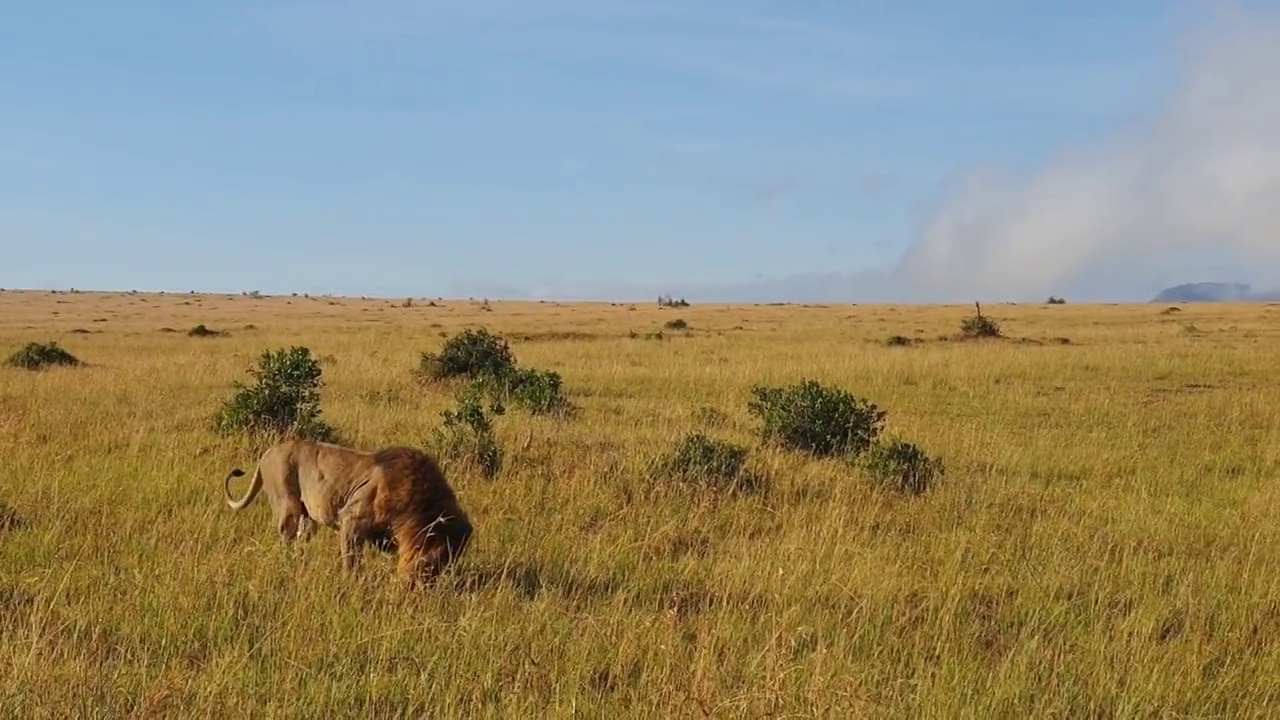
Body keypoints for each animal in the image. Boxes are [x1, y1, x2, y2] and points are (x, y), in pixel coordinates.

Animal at [225, 438, 476, 584]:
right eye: (433, 563)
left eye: (447, 565)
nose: (423, 588)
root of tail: (266, 454)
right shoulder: (351, 519)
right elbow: (351, 561)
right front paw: (351, 585)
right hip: (288, 504)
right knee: (286, 536)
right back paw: (289, 565)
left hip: (308, 519)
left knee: (301, 538)